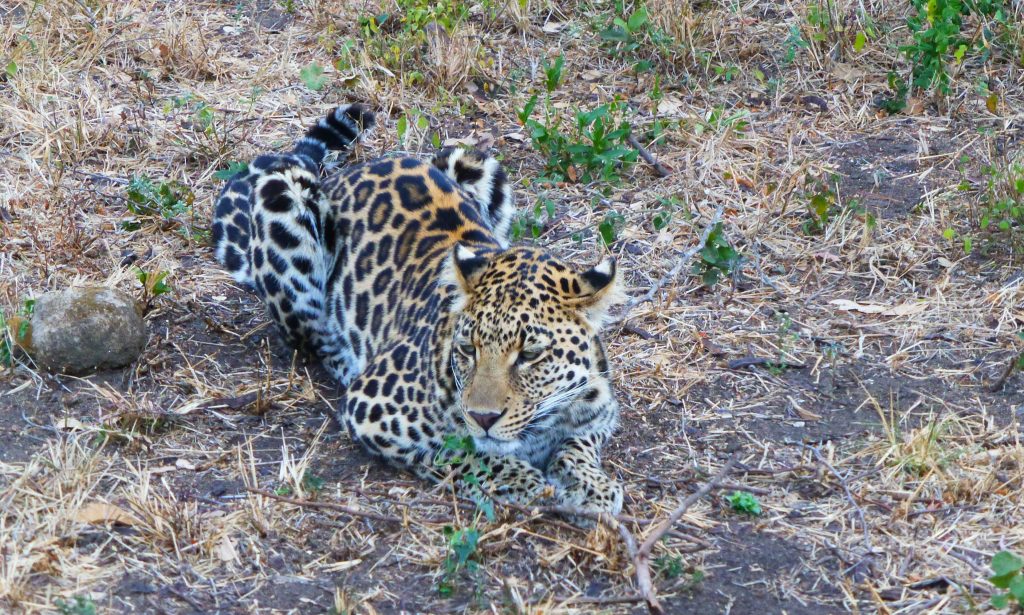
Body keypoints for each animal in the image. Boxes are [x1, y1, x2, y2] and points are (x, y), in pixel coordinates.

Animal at [212, 104, 624, 517]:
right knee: (310, 338)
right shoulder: (371, 408)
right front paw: (522, 481)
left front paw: (593, 485)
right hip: (282, 194)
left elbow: (578, 447)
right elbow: (460, 451)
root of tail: (349, 173)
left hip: (471, 160)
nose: (484, 417)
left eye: (530, 355)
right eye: (468, 349)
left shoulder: (601, 411)